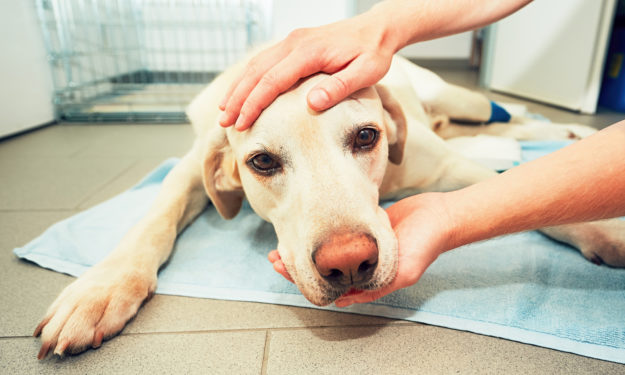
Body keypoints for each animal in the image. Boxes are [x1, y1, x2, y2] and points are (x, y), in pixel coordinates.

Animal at [33, 55, 624, 358]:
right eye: (262, 162)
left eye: (366, 136)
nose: (349, 263)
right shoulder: (191, 164)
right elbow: (154, 218)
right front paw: (100, 290)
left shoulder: (451, 168)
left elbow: (535, 190)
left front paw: (606, 229)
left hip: (462, 99)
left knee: (504, 116)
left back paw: (564, 129)